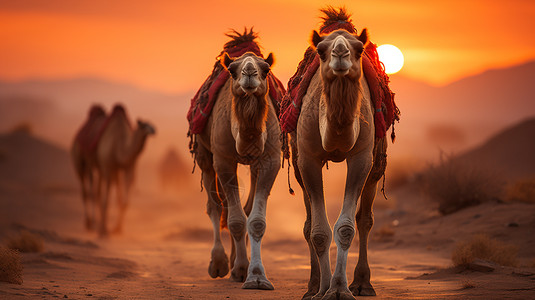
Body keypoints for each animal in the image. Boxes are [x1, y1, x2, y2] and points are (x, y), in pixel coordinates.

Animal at [94, 104, 156, 238]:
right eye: (144, 125)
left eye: (152, 124)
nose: (154, 130)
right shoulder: (108, 167)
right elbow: (106, 200)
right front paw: (104, 231)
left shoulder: (128, 168)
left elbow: (125, 201)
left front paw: (118, 229)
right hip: (96, 166)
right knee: (95, 193)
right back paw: (97, 227)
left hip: (112, 172)